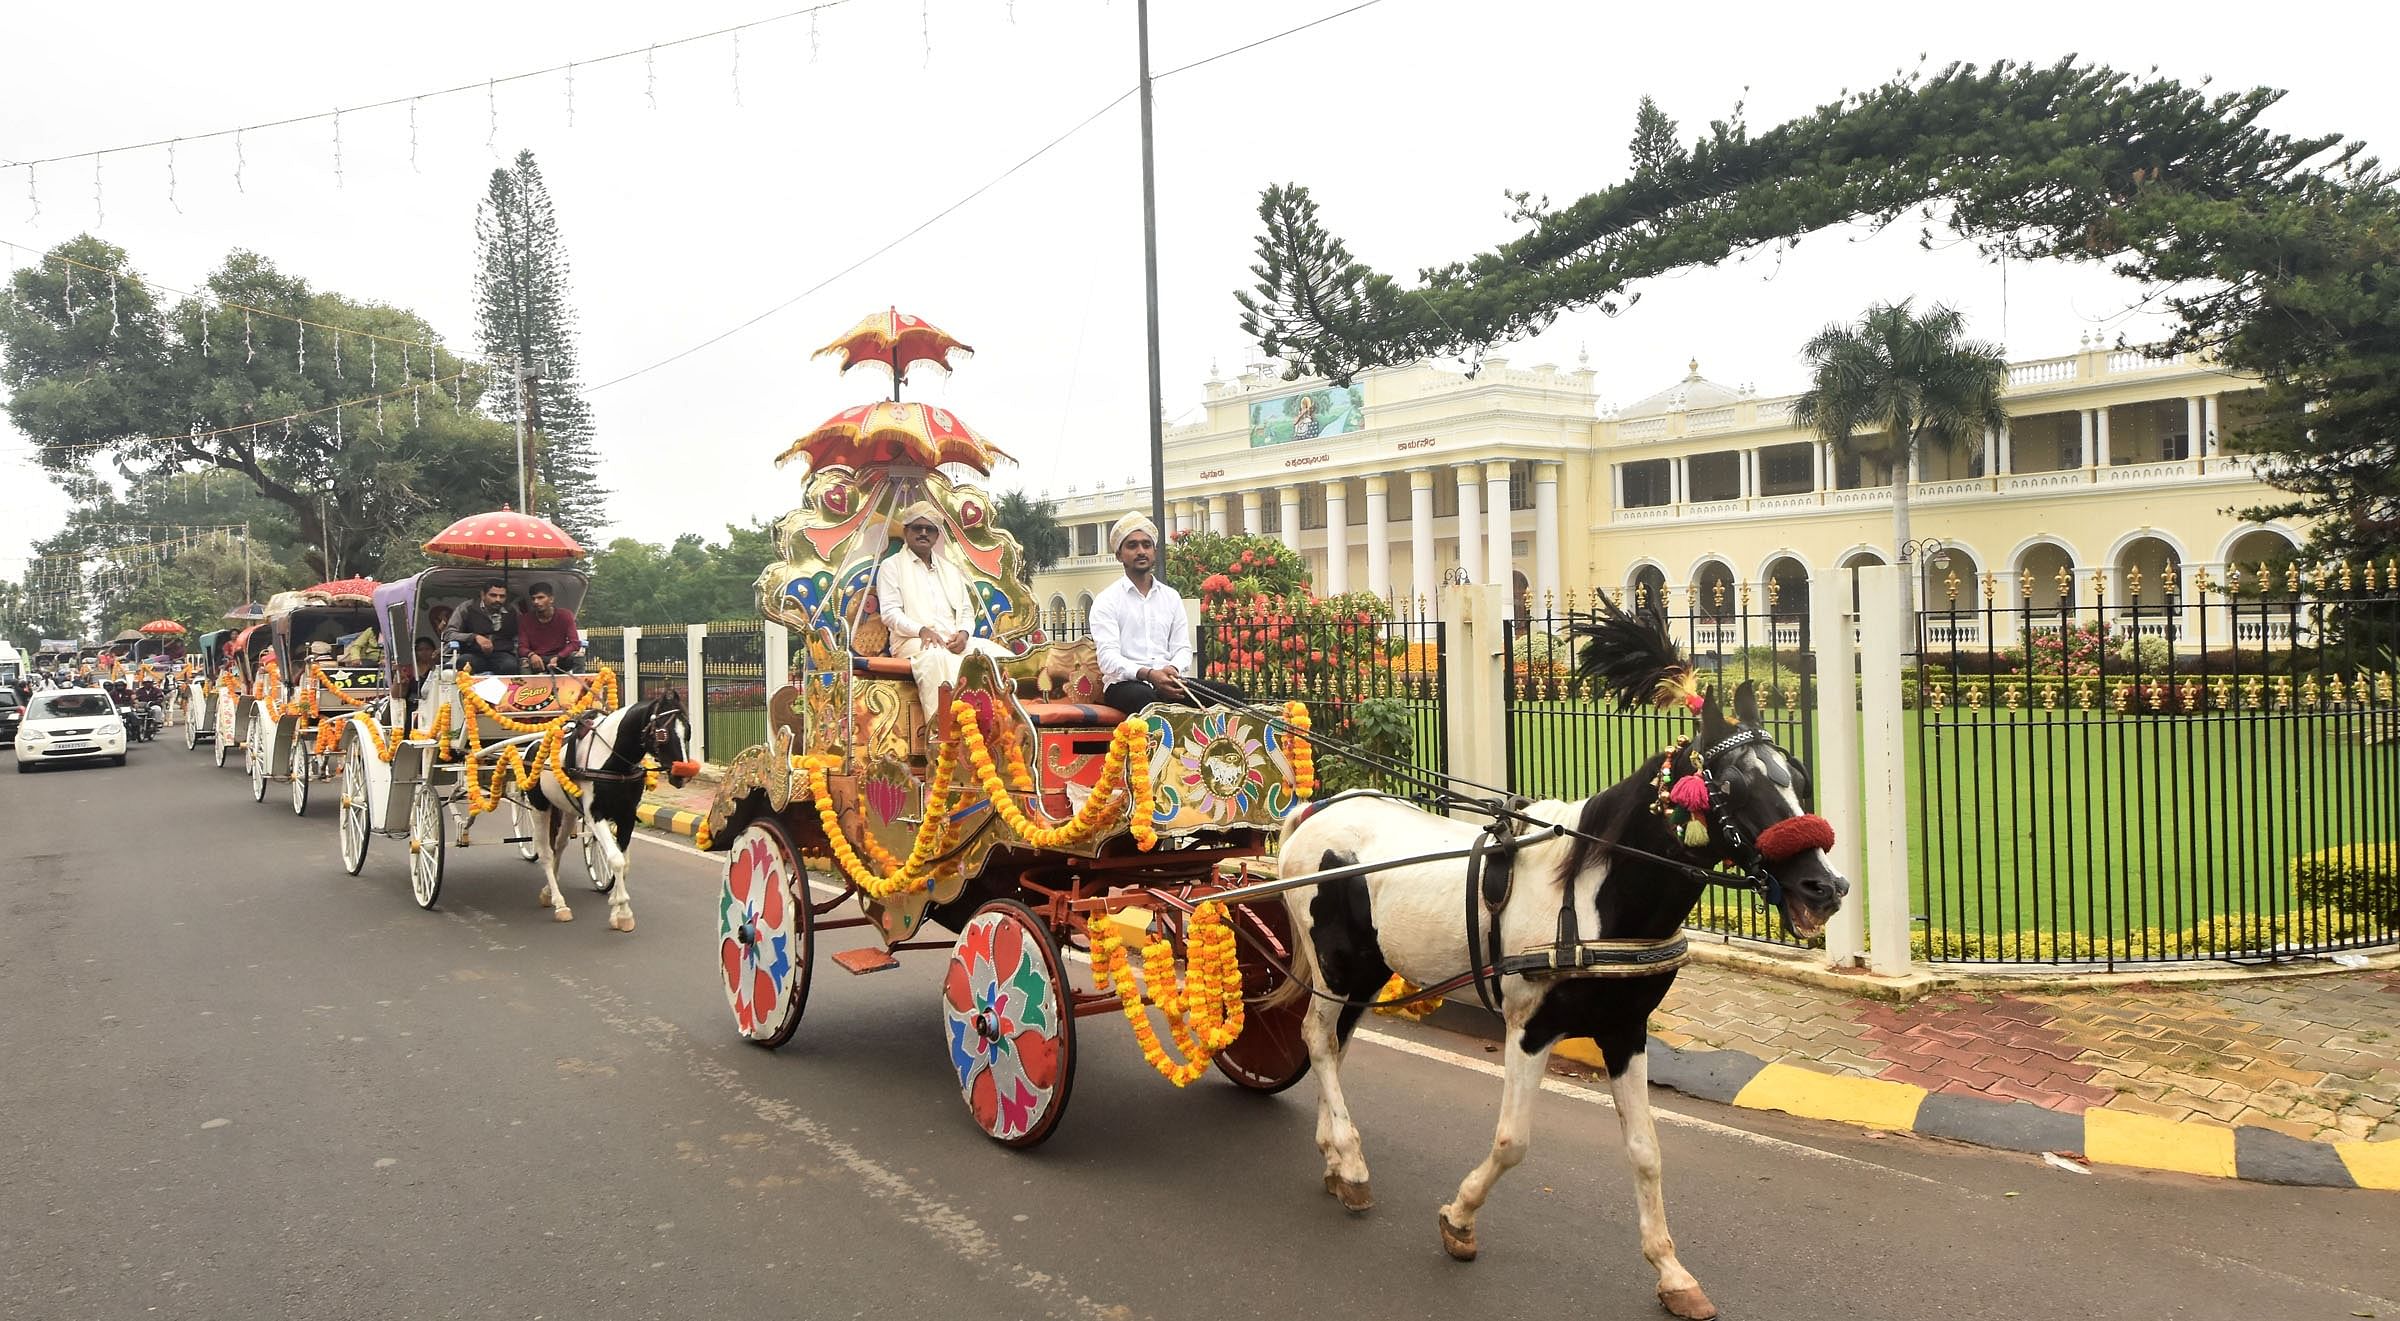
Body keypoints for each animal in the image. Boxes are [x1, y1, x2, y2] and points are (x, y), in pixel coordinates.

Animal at [532, 686, 696, 936]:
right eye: (662, 733)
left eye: (687, 731)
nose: (683, 775)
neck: (613, 761)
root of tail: (532, 745)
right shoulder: (595, 815)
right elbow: (616, 860)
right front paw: (623, 911)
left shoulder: (627, 815)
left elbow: (624, 862)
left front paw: (616, 910)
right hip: (538, 807)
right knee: (546, 854)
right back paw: (560, 904)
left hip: (568, 809)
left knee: (559, 845)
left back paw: (548, 891)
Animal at [1276, 607, 1852, 1321]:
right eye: (1733, 786)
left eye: (1798, 777)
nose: (1825, 888)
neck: (1593, 894)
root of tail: (1319, 807)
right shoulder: (1530, 1027)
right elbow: (1513, 1142)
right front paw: (1460, 1219)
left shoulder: (1624, 1030)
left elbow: (1646, 1150)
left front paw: (1671, 1270)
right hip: (1335, 964)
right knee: (1316, 1039)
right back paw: (1352, 1165)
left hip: (1367, 971)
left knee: (1335, 1044)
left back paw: (1335, 1154)